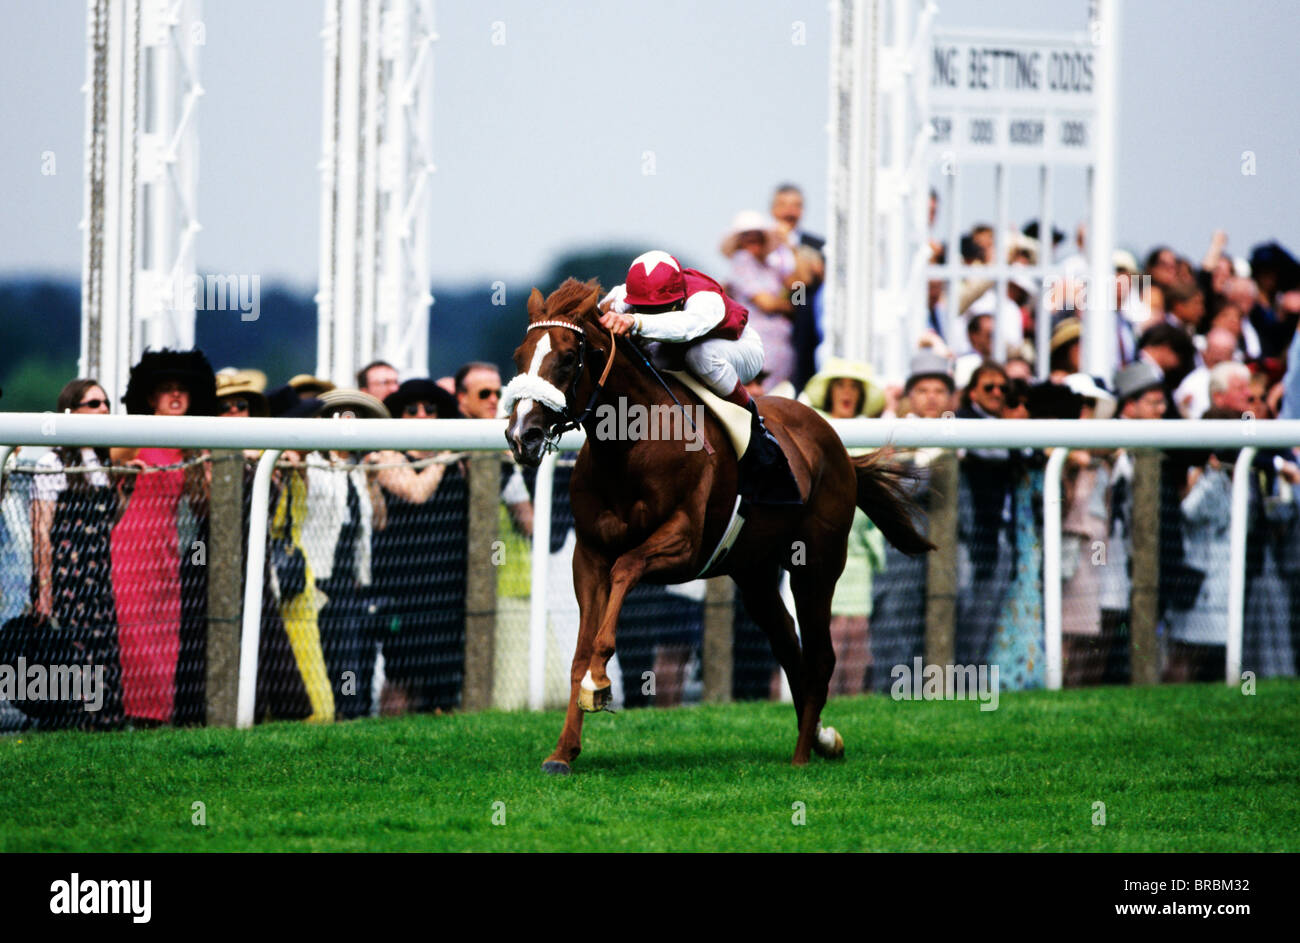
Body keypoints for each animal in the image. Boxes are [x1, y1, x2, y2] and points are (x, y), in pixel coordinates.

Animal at [499, 274, 935, 770]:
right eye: (519, 356)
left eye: (569, 358)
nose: (522, 435)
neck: (631, 447)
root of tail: (836, 443)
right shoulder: (588, 553)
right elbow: (577, 651)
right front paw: (563, 751)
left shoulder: (684, 544)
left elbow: (626, 569)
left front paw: (600, 681)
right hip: (755, 571)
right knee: (790, 648)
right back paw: (822, 739)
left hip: (817, 563)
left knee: (821, 656)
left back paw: (803, 755)